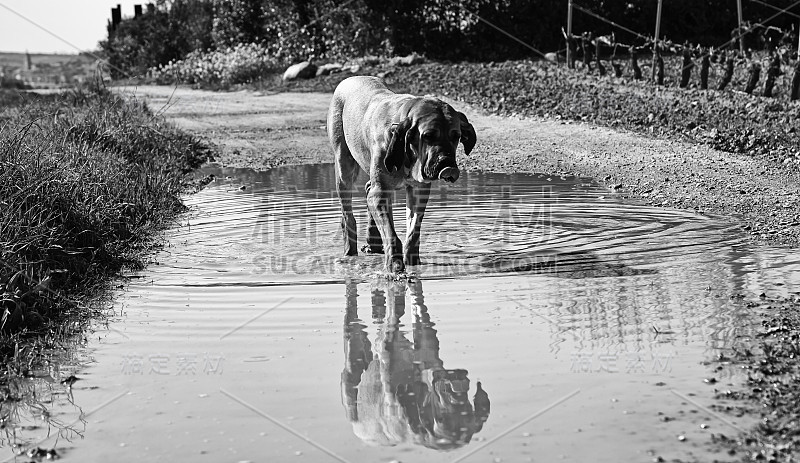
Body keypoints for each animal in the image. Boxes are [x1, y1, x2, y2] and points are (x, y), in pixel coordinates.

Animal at [324, 75, 476, 272]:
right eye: (428, 135)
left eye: (456, 136)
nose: (447, 165)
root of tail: (350, 78)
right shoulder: (380, 192)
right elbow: (390, 232)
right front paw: (394, 264)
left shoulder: (418, 191)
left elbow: (413, 231)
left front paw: (412, 261)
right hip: (344, 167)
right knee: (348, 216)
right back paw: (350, 252)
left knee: (368, 189)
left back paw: (373, 242)